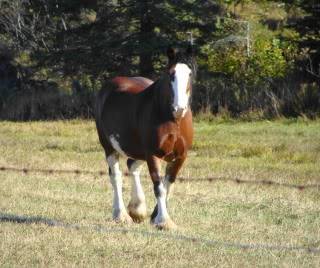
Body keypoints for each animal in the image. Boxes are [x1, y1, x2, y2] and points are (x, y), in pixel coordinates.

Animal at [95, 47, 195, 229]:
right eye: (171, 74)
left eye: (190, 74)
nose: (179, 108)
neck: (172, 120)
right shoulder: (153, 154)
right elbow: (159, 187)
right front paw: (164, 221)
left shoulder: (181, 156)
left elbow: (168, 184)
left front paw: (155, 216)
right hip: (110, 147)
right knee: (116, 176)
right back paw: (121, 215)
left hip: (138, 150)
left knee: (132, 165)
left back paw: (137, 209)